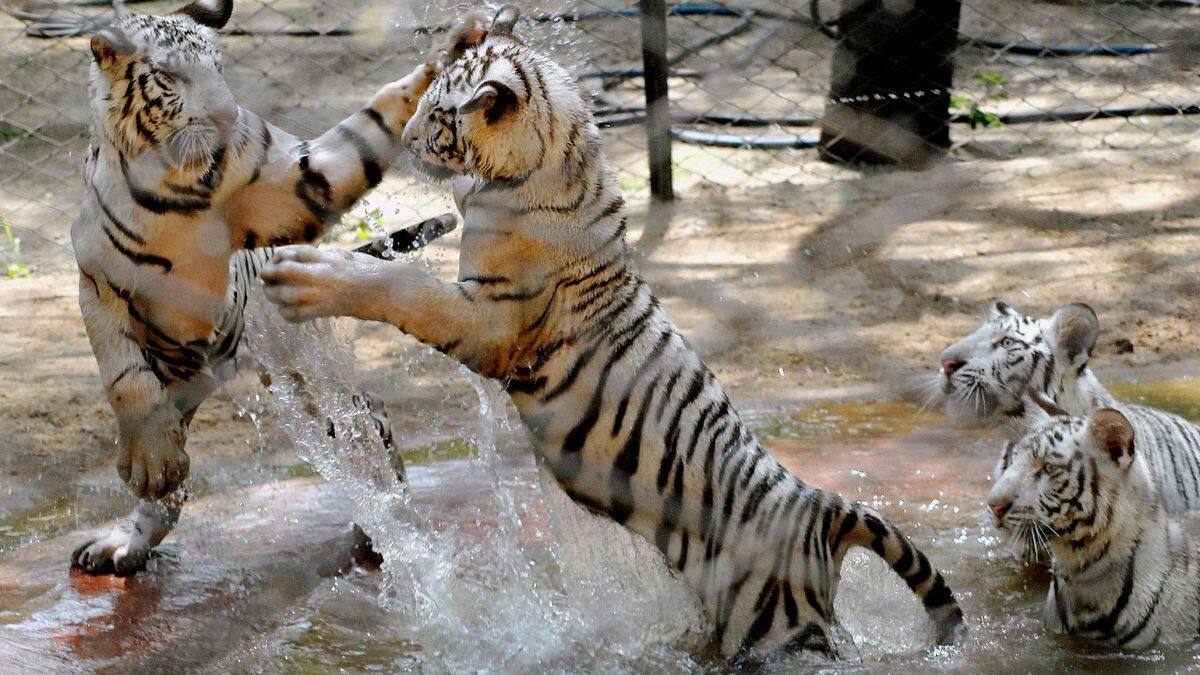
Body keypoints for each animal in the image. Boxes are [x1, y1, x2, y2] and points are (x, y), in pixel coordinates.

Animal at [70, 0, 481, 575]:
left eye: (218, 67)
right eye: (171, 76)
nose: (226, 117)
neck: (173, 183)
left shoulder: (295, 186)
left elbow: (365, 131)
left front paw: (451, 52)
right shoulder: (97, 282)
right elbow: (125, 378)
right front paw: (152, 463)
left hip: (304, 372)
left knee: (366, 420)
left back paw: (388, 524)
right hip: (194, 370)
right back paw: (127, 542)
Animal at [259, 6, 968, 659]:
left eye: (438, 118)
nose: (405, 138)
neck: (543, 160)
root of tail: (823, 507)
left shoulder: (492, 318)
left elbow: (402, 287)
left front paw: (307, 274)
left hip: (772, 623)